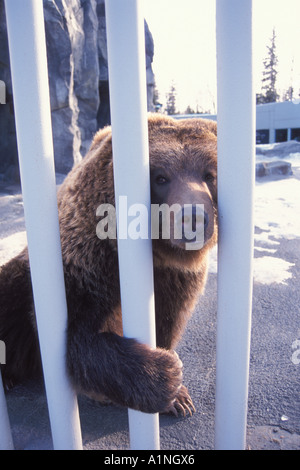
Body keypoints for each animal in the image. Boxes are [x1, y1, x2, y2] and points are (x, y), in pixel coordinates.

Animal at [0, 114, 217, 414]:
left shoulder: (176, 278)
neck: (157, 254)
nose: (193, 217)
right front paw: (166, 374)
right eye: (161, 177)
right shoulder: (88, 264)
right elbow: (80, 338)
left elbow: (167, 320)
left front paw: (180, 398)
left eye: (209, 174)